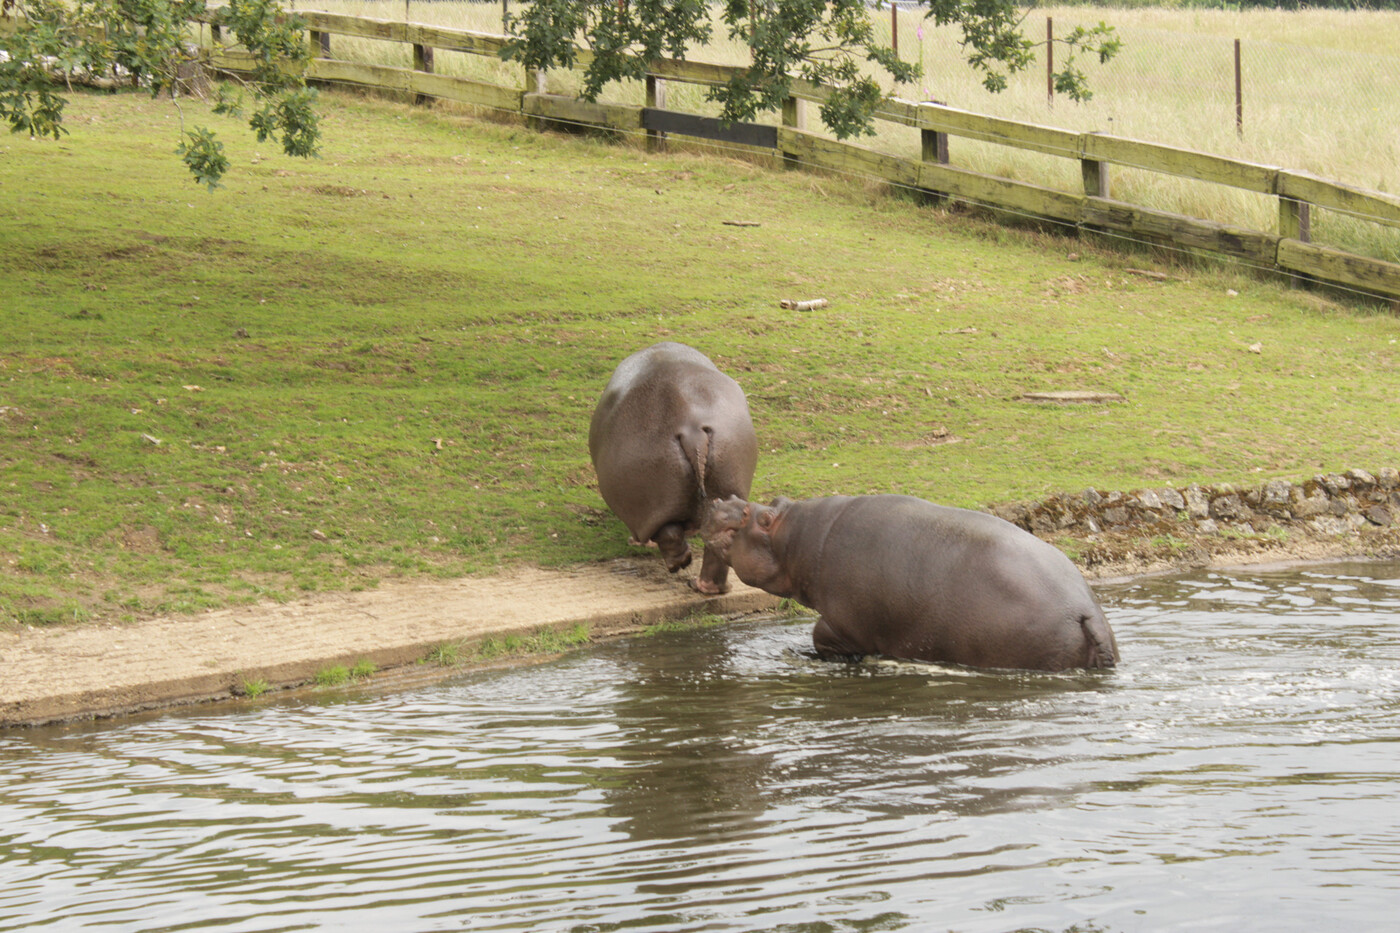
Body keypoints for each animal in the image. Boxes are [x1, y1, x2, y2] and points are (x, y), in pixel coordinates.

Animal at [593, 343, 761, 596]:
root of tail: (691, 429)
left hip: (651, 494)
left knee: (667, 532)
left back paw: (677, 565)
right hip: (726, 483)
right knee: (716, 547)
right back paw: (708, 587)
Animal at [705, 493, 1120, 669]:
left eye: (748, 513)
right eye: (771, 499)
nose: (720, 499)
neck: (795, 541)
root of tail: (1085, 611)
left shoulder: (842, 623)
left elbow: (820, 635)